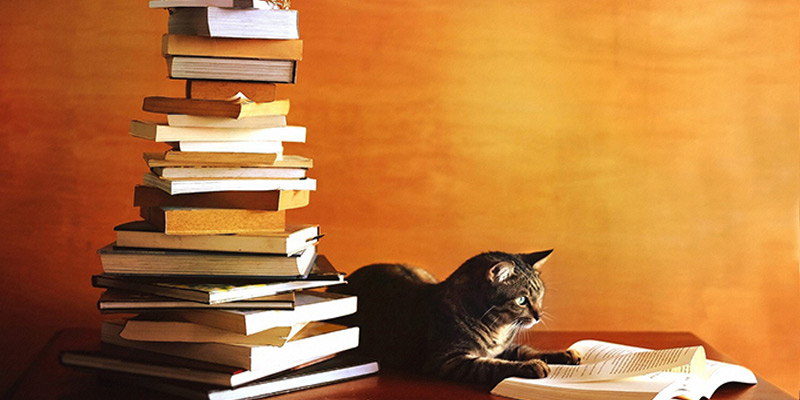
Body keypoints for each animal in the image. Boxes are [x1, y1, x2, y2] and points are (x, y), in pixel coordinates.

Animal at [328, 250, 581, 388]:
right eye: (521, 300)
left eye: (540, 296)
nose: (538, 316)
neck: (497, 328)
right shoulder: (449, 360)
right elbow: (492, 365)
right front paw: (531, 366)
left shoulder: (503, 347)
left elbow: (527, 349)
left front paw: (564, 353)